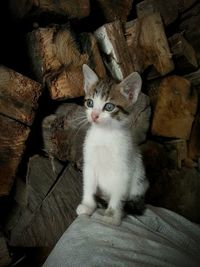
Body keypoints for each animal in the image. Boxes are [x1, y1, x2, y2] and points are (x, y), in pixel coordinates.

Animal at [76, 65, 148, 226]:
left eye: (109, 107)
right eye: (90, 103)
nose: (94, 115)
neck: (105, 135)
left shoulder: (124, 169)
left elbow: (118, 194)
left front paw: (112, 215)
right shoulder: (89, 164)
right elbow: (88, 185)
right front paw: (88, 205)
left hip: (140, 181)